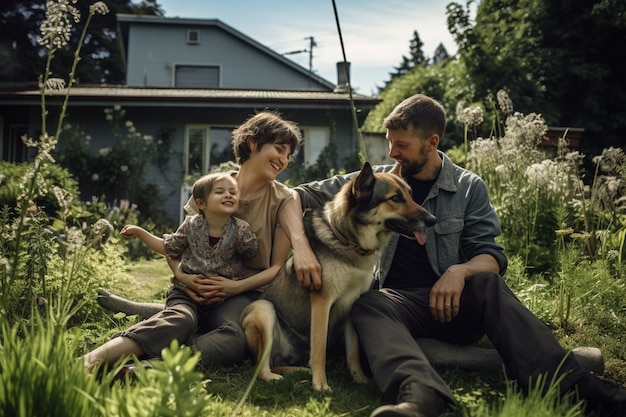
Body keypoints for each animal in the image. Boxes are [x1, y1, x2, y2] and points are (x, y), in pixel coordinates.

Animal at [239, 160, 434, 390]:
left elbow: (353, 351)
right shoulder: (322, 302)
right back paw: (275, 376)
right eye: (395, 198)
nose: (432, 220)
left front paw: (359, 378)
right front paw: (320, 385)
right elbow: (320, 350)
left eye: (410, 195)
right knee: (260, 368)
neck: (350, 243)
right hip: (264, 309)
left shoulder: (352, 304)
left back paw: (299, 371)